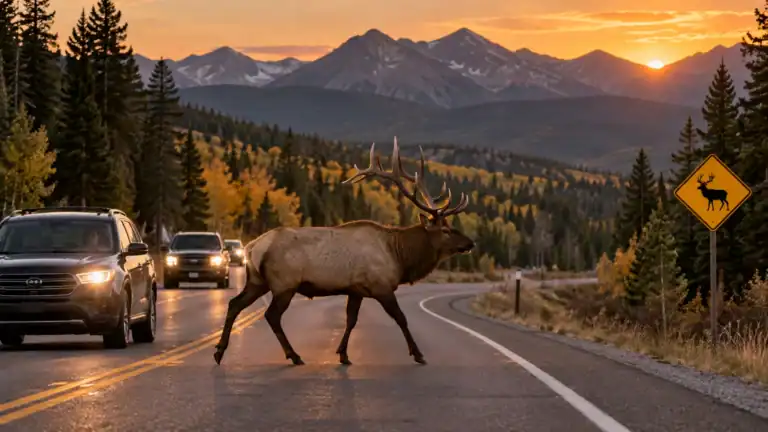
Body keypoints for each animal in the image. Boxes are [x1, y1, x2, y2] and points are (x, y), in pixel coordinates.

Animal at [213, 138, 475, 366]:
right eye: (446, 230)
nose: (470, 243)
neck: (399, 256)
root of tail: (252, 247)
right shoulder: (381, 285)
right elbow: (401, 318)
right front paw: (418, 354)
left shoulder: (356, 289)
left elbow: (351, 320)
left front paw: (343, 354)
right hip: (284, 283)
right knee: (271, 315)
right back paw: (294, 356)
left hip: (258, 281)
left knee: (235, 304)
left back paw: (219, 351)